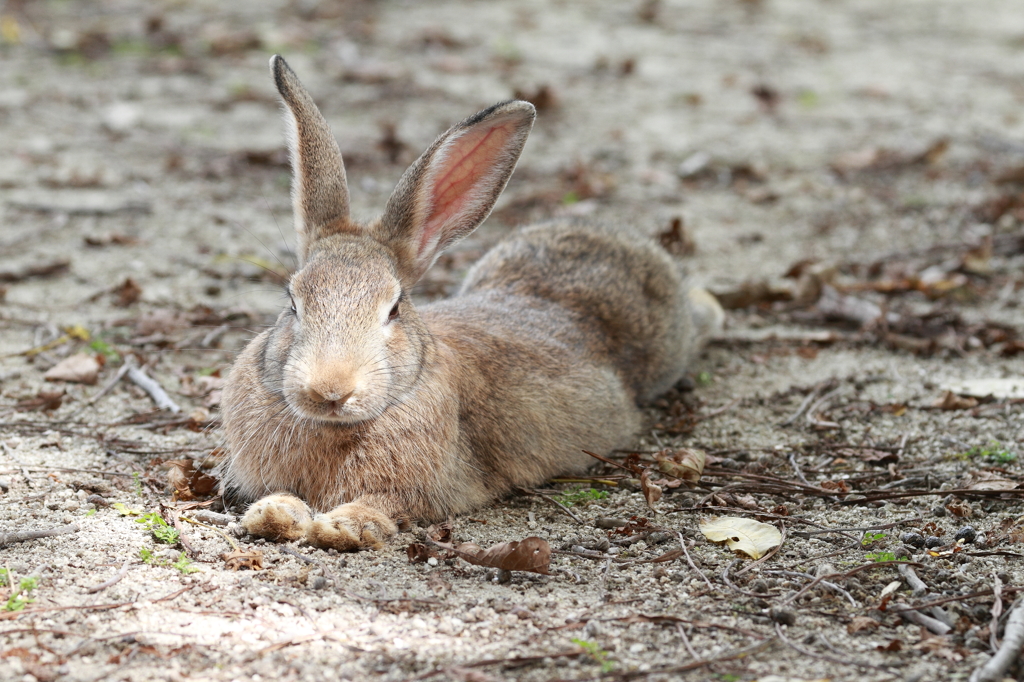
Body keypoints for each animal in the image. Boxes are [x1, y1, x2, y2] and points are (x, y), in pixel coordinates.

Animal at [220, 55, 724, 548]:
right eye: (293, 302)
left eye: (394, 308)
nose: (330, 390)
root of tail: (621, 241)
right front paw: (271, 513)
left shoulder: (426, 488)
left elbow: (386, 503)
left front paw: (344, 526)